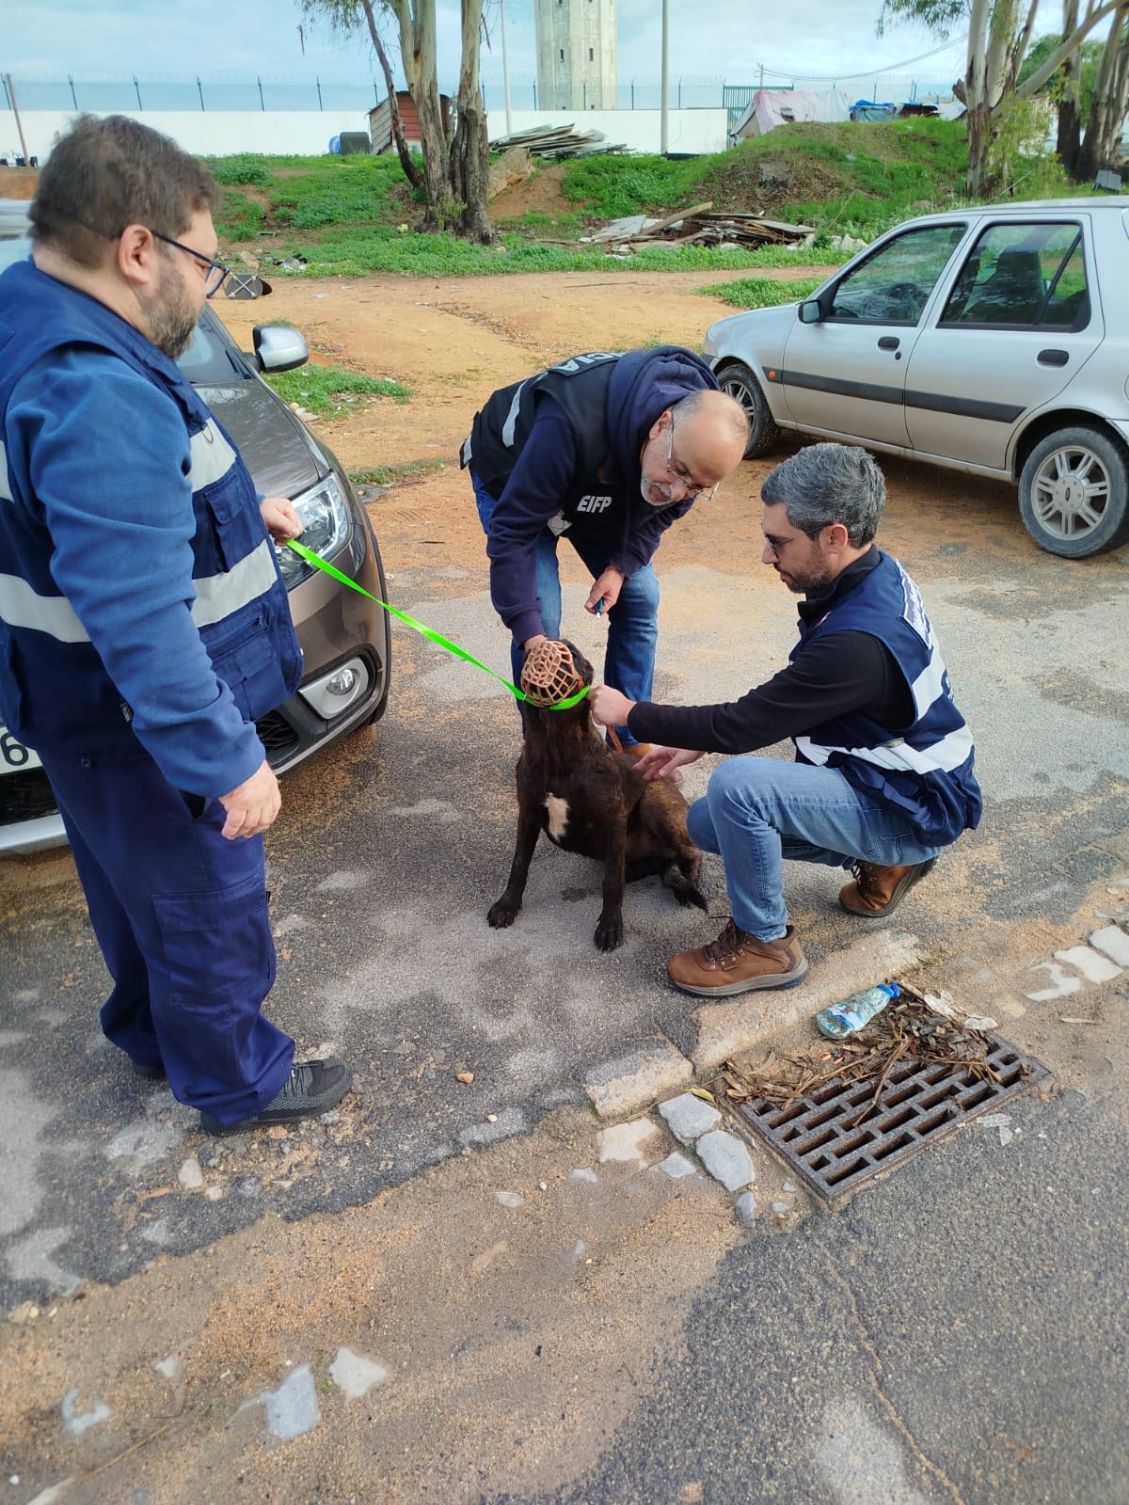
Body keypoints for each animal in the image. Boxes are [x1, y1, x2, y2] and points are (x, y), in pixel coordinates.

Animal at [487, 638, 707, 951]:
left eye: (573, 653)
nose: (545, 644)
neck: (556, 747)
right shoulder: (527, 813)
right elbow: (519, 865)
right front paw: (508, 905)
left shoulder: (613, 821)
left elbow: (611, 882)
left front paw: (610, 926)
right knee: (660, 868)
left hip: (655, 803)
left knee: (691, 852)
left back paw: (689, 885)